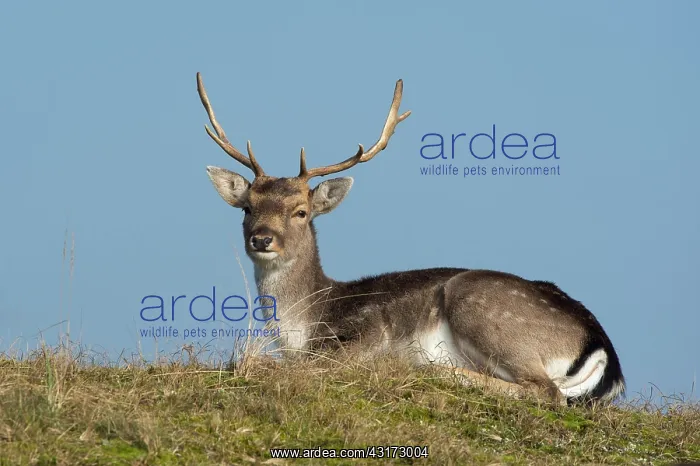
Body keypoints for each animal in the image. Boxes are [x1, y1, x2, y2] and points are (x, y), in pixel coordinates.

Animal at [196, 72, 625, 405]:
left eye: (301, 211)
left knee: (544, 391)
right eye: (247, 208)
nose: (262, 239)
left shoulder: (360, 338)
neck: (309, 322)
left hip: (481, 307)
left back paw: (435, 370)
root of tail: (603, 350)